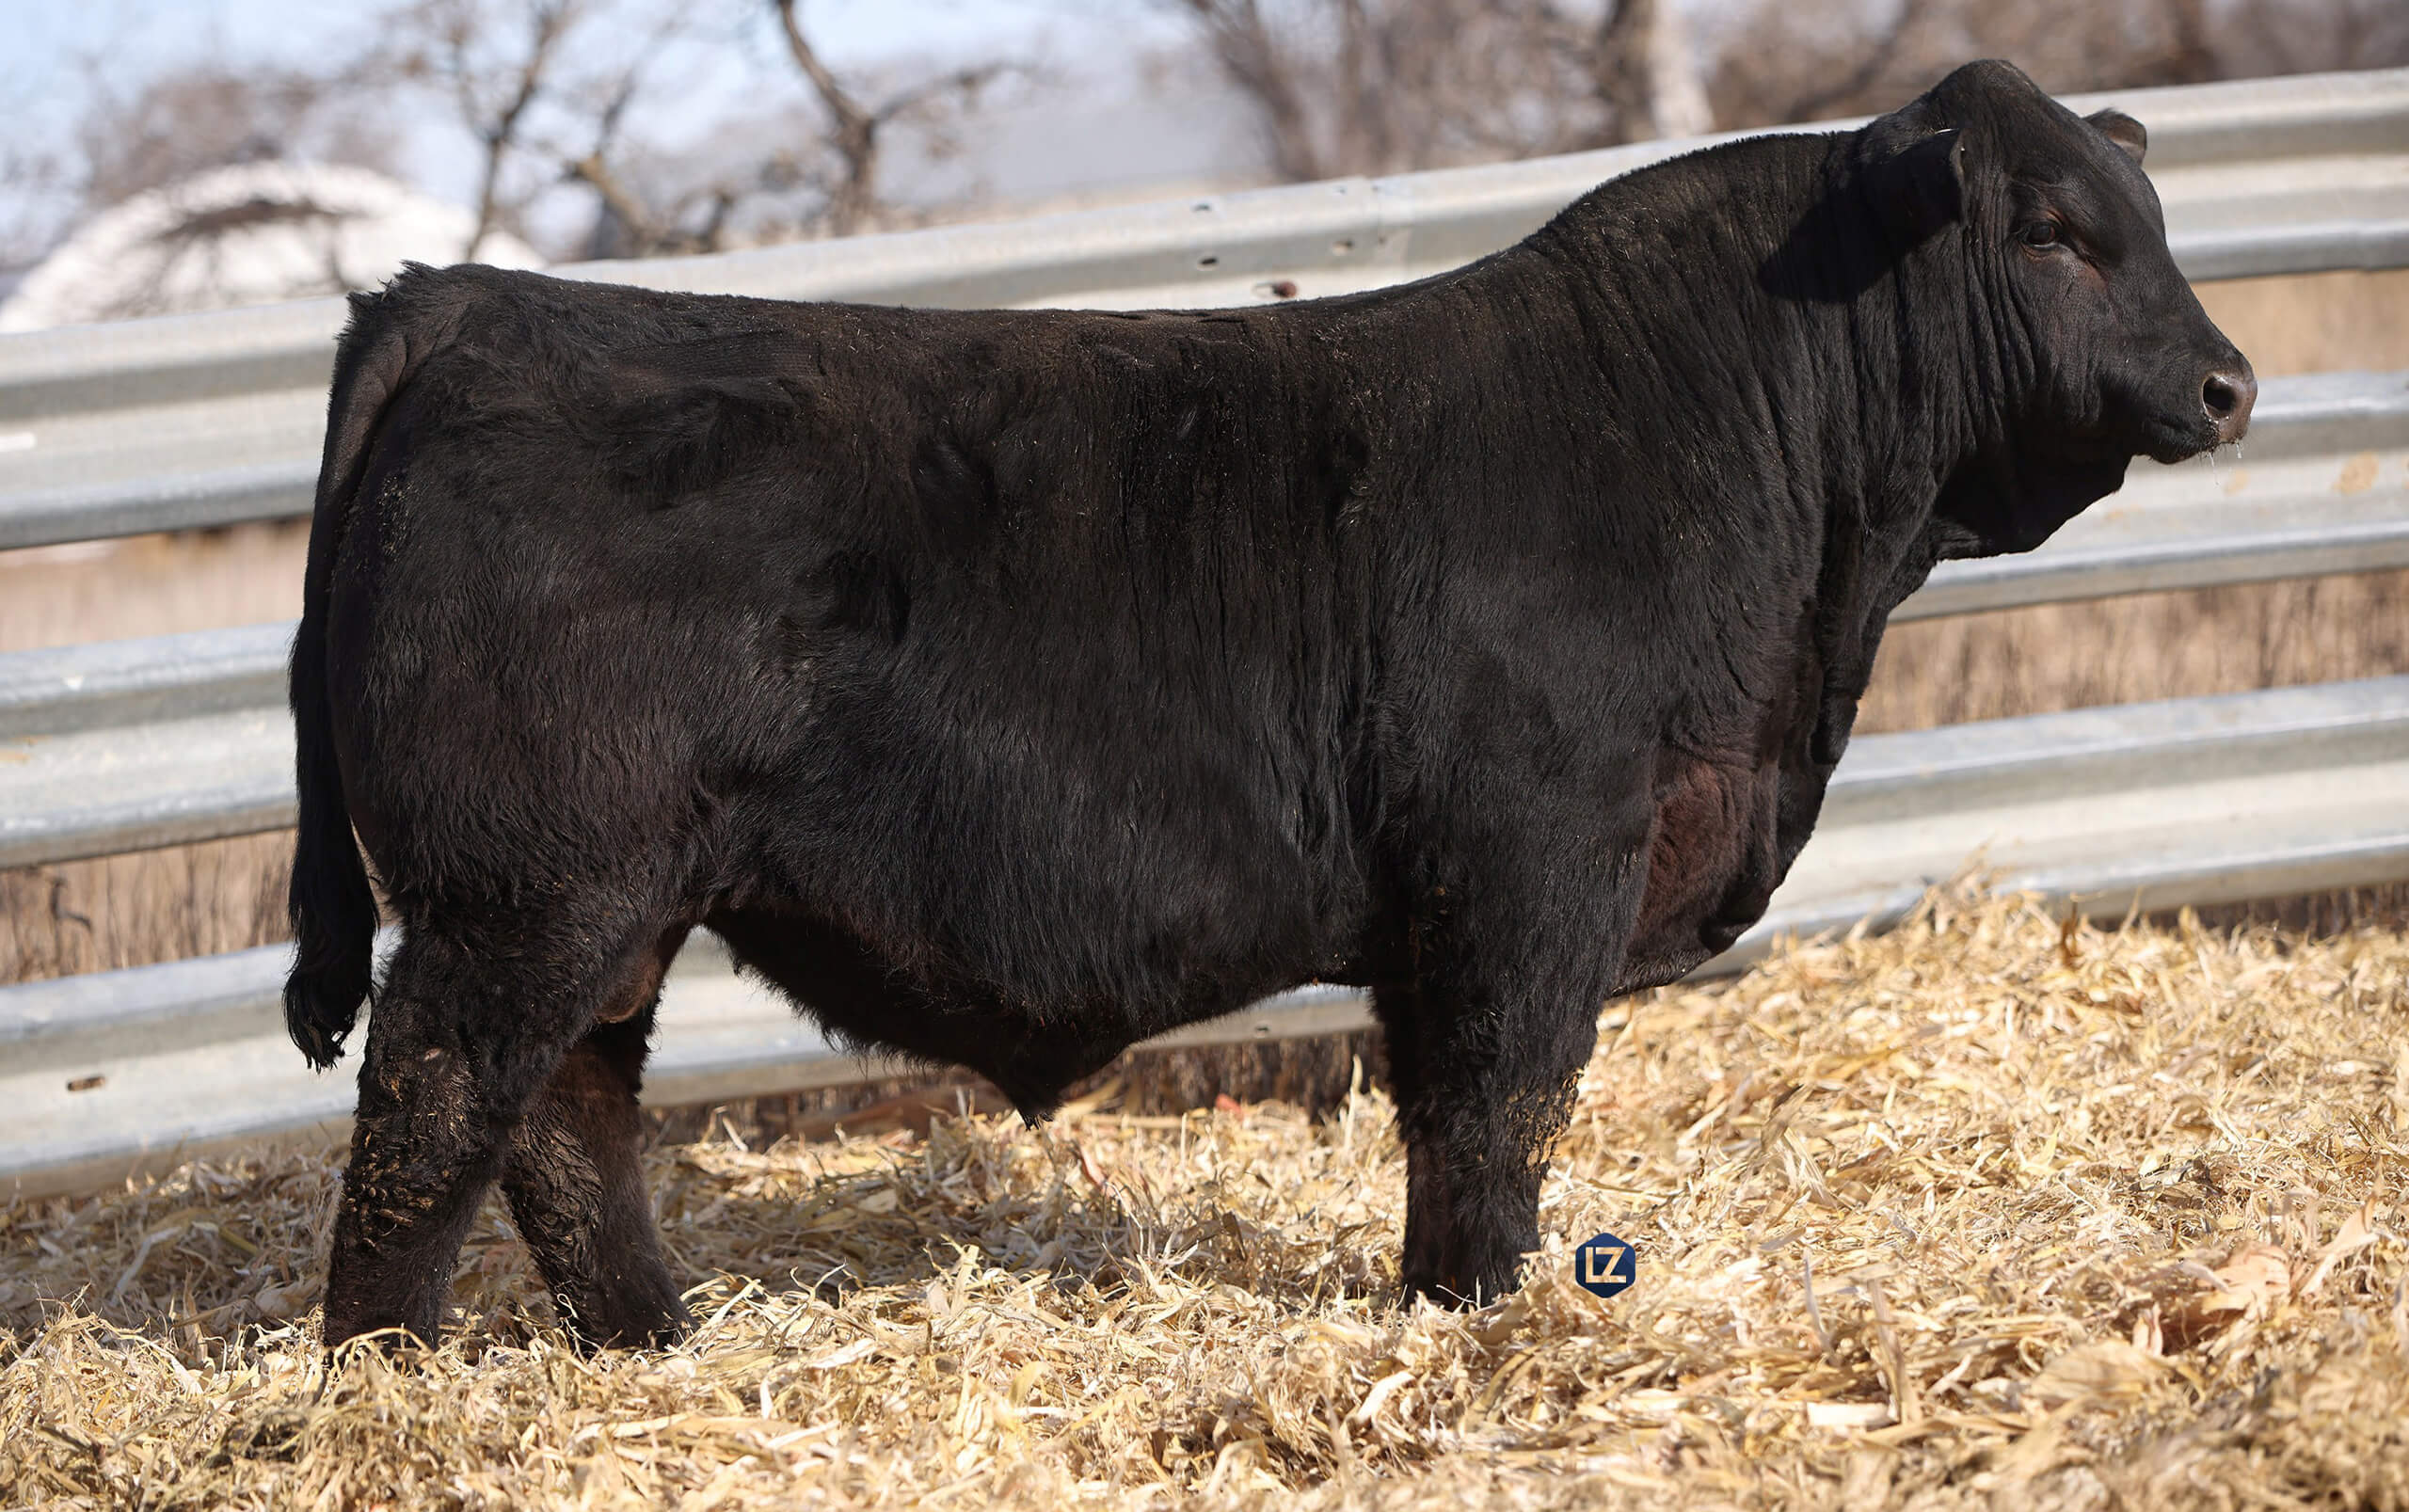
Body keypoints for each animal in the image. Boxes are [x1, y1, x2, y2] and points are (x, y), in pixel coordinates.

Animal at [284, 60, 2253, 1351]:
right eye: (2058, 231)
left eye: (2156, 219)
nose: (2231, 382)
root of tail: (479, 305)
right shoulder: (1527, 864)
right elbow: (1491, 1106)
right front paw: (1477, 1311)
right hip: (527, 891)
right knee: (433, 1103)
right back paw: (385, 1371)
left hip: (609, 902)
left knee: (564, 1116)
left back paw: (650, 1337)